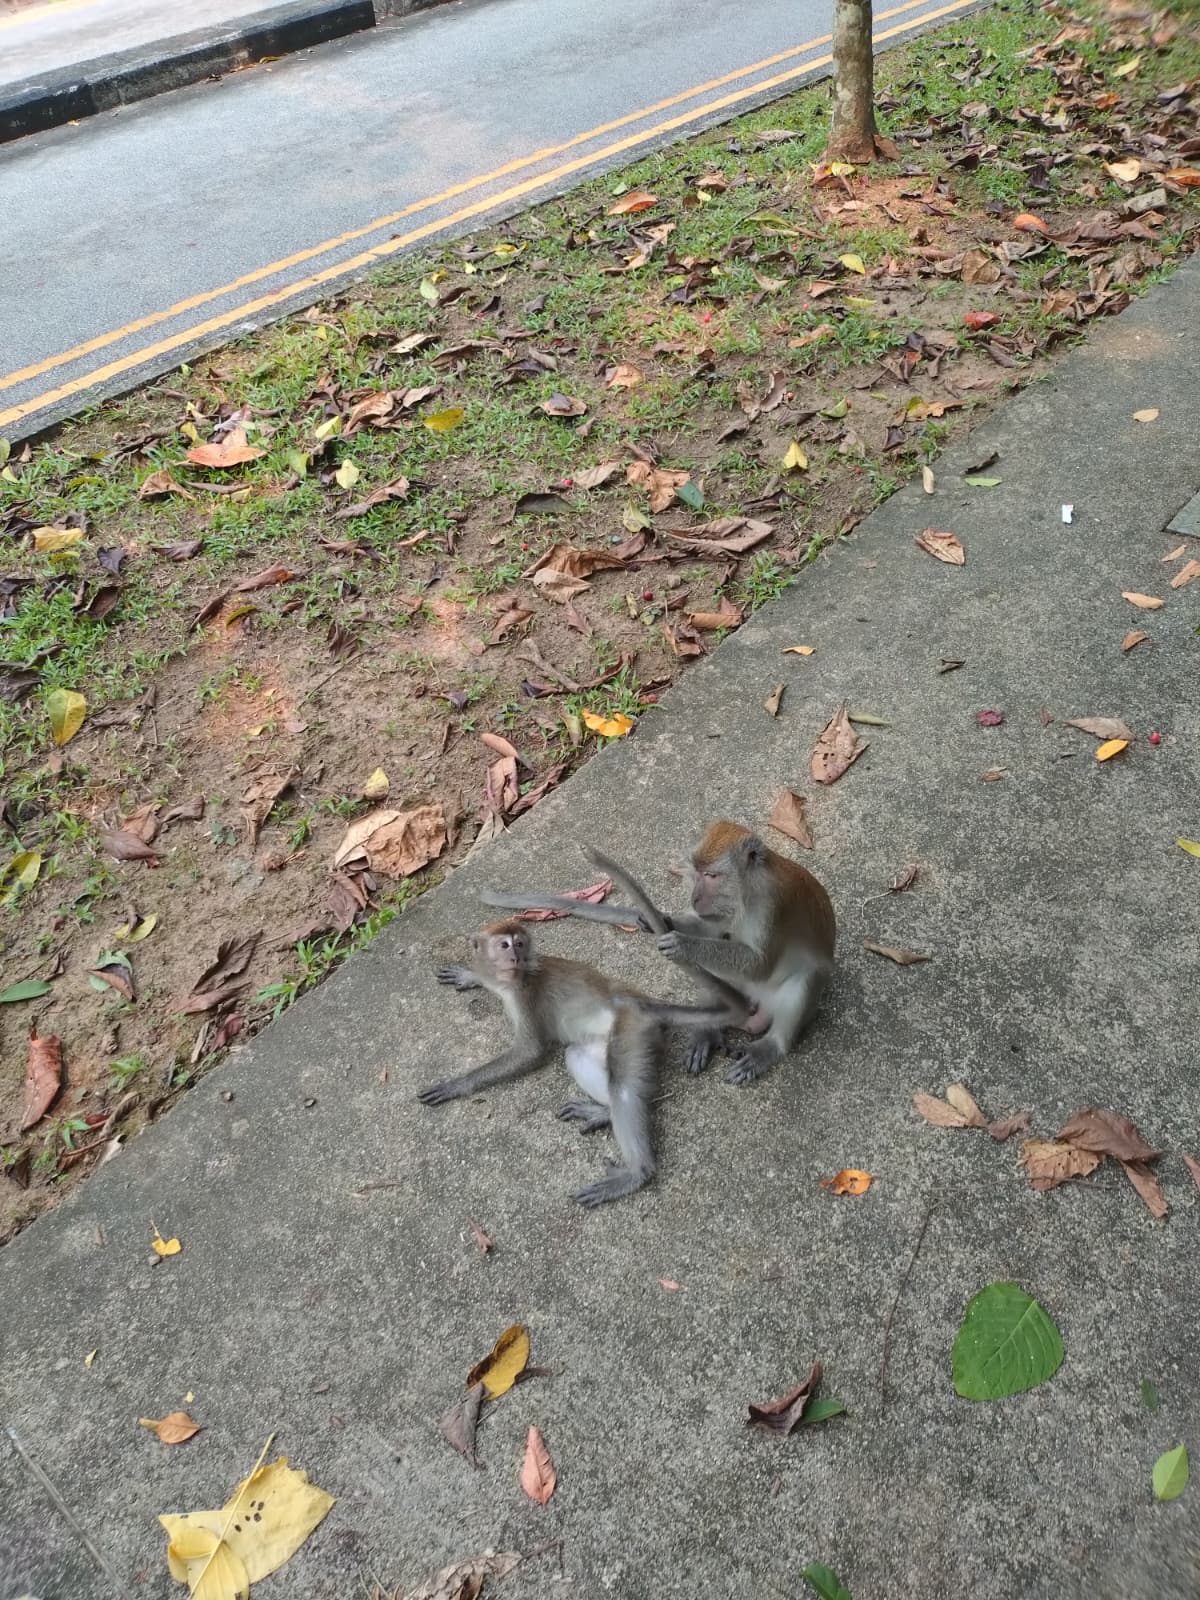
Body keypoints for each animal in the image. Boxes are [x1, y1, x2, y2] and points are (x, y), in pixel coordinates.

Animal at [416, 919, 736, 1208]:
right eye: (504, 945)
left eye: (519, 943)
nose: (516, 957)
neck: (513, 978)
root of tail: (641, 1003)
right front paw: (470, 975)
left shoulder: (526, 995)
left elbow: (531, 1052)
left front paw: (457, 1085)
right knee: (576, 1055)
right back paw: (604, 1112)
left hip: (631, 1028)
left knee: (624, 1090)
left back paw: (637, 1172)